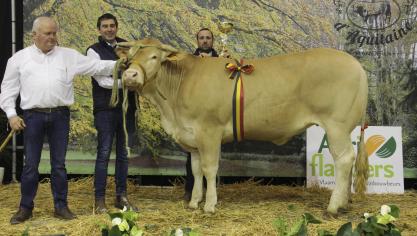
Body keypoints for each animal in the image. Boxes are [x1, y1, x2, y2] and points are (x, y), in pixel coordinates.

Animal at [114, 39, 368, 216]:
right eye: (129, 57)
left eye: (154, 57)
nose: (130, 75)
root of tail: (355, 63)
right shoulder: (192, 137)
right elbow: (196, 171)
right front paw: (194, 202)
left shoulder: (209, 130)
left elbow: (209, 169)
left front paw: (209, 205)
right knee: (348, 159)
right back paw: (344, 203)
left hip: (336, 125)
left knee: (344, 159)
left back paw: (334, 207)